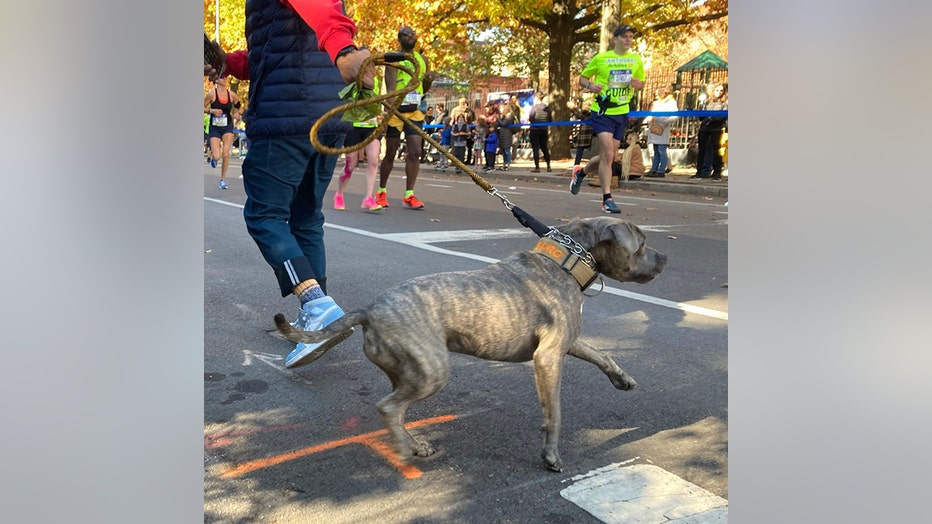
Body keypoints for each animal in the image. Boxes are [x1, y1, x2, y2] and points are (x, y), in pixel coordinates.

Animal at [274, 216, 668, 470]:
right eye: (642, 244)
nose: (665, 257)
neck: (567, 262)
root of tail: (369, 310)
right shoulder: (548, 357)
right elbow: (554, 413)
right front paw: (551, 455)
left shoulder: (567, 342)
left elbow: (601, 353)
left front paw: (622, 379)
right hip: (432, 372)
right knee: (388, 408)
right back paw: (402, 450)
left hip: (407, 372)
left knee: (398, 409)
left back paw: (414, 444)